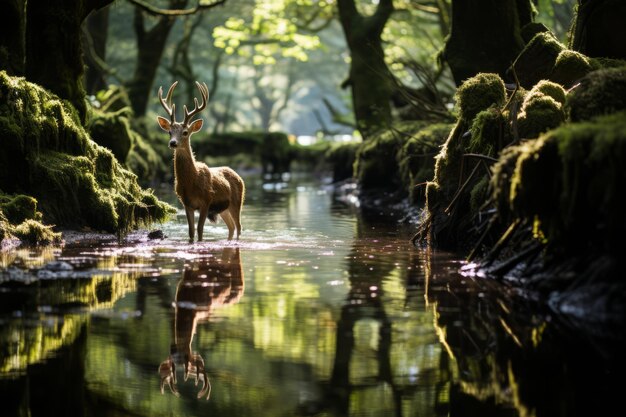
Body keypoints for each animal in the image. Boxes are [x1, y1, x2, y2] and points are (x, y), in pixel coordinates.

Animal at [156, 80, 244, 240]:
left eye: (185, 132)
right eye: (169, 132)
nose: (173, 143)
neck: (191, 181)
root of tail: (238, 176)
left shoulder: (206, 200)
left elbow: (200, 229)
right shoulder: (186, 203)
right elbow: (191, 231)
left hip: (237, 202)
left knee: (239, 227)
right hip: (224, 209)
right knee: (232, 227)